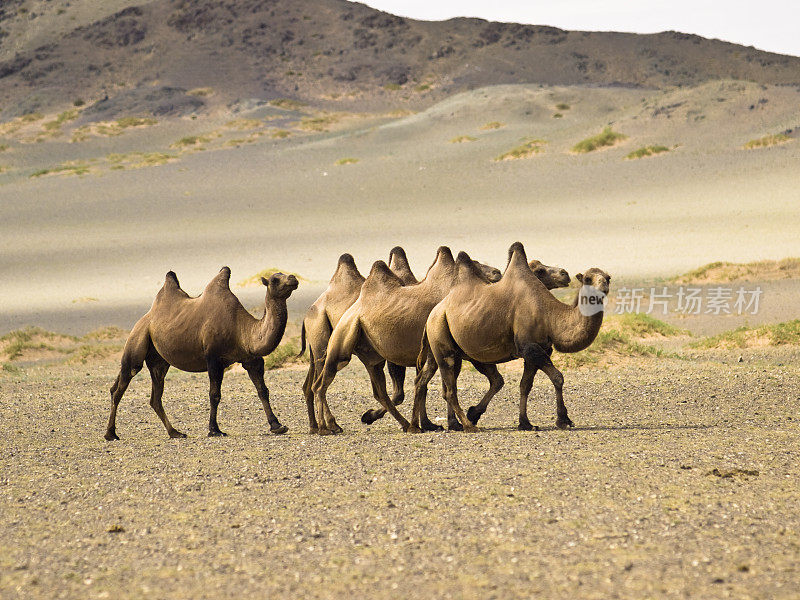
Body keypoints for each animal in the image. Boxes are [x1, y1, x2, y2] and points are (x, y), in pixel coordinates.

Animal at [103, 268, 296, 440]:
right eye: (274, 279)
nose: (293, 278)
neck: (242, 330)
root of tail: (145, 317)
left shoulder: (251, 359)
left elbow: (263, 390)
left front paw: (277, 425)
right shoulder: (214, 359)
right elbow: (214, 394)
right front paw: (215, 430)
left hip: (159, 360)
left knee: (152, 396)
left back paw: (175, 433)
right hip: (137, 339)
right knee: (123, 382)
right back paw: (111, 434)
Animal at [298, 247, 418, 432]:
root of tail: (308, 314)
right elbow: (398, 393)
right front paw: (368, 416)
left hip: (316, 348)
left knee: (308, 386)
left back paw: (315, 427)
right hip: (321, 340)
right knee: (318, 382)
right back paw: (331, 425)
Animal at [310, 246, 504, 434]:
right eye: (475, 264)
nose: (497, 272)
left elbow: (493, 380)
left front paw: (447, 421)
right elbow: (443, 385)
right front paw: (458, 421)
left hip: (370, 354)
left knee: (378, 391)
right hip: (341, 340)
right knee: (322, 382)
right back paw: (329, 426)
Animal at [416, 241, 608, 434]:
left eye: (608, 277)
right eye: (587, 279)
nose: (603, 287)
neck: (550, 315)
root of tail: (434, 312)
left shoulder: (539, 349)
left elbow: (525, 385)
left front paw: (525, 423)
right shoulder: (529, 346)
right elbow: (557, 377)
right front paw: (563, 420)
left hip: (445, 346)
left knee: (425, 379)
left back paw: (425, 425)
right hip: (441, 337)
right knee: (449, 388)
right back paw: (465, 425)